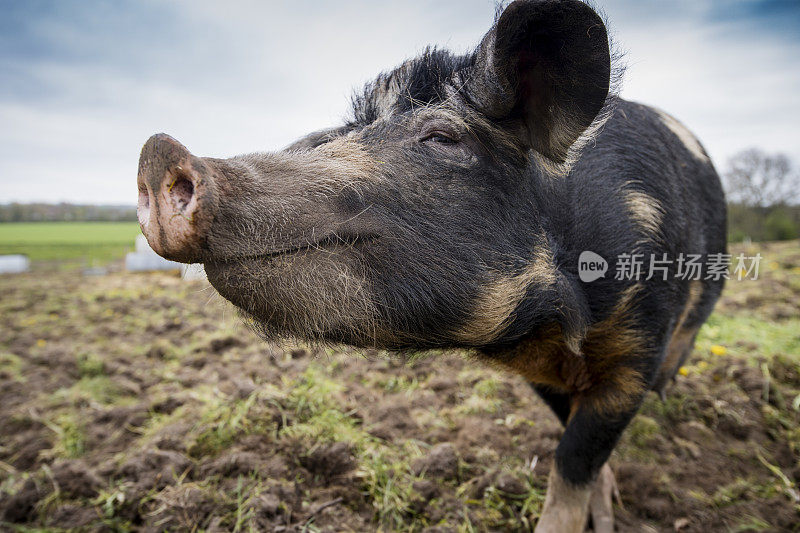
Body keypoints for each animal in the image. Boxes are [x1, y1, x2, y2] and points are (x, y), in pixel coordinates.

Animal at [136, 2, 724, 528]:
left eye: (443, 138)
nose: (157, 150)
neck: (557, 323)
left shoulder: (637, 347)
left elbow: (575, 459)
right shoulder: (542, 373)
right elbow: (569, 441)